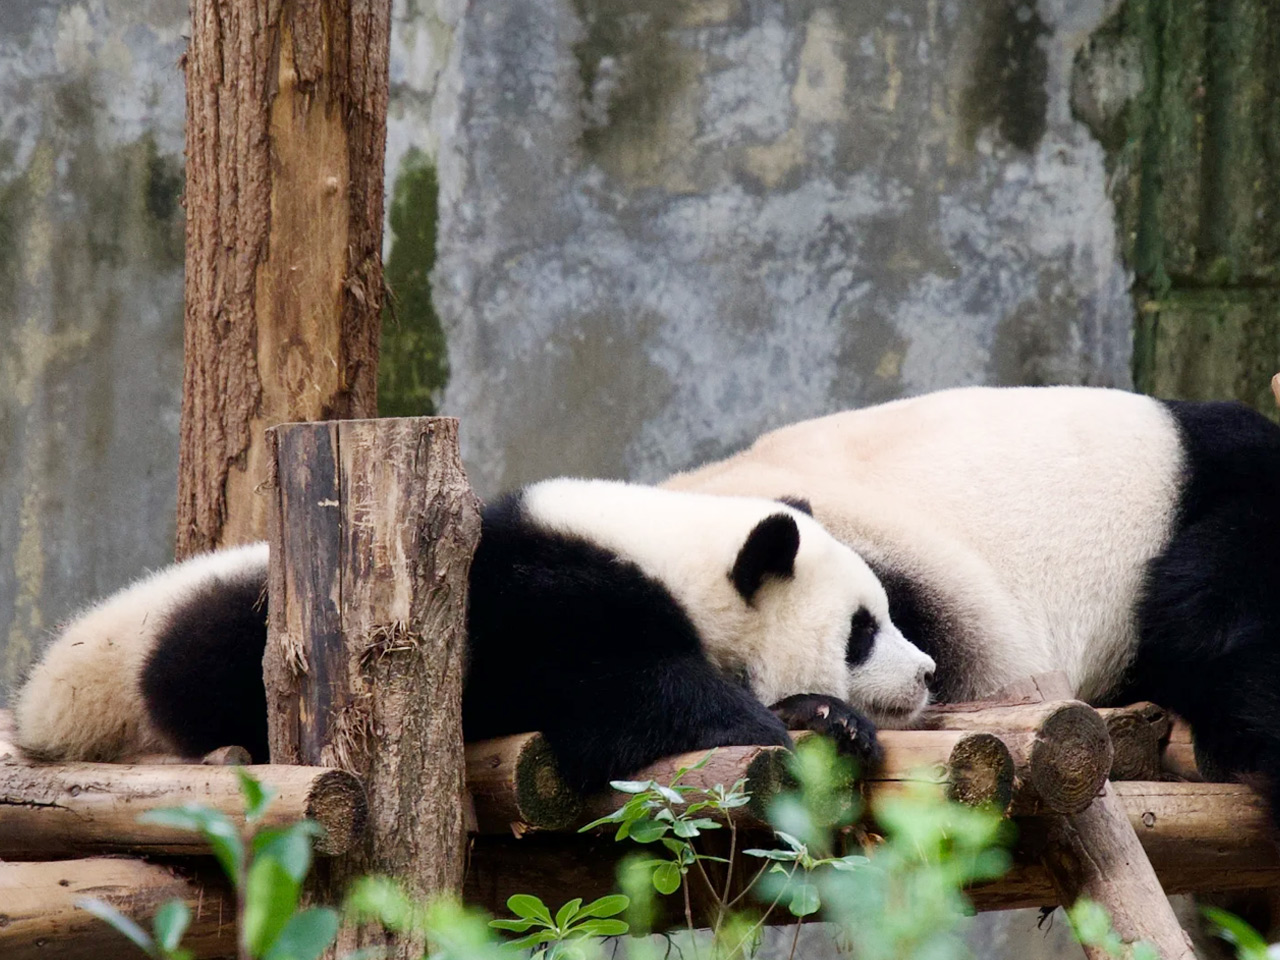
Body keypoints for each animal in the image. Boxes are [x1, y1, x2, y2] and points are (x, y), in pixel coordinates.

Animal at [13, 479, 935, 792]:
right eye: (862, 630)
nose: (928, 673)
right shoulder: (539, 607)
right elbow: (610, 695)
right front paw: (765, 721)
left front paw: (830, 718)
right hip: (218, 636)